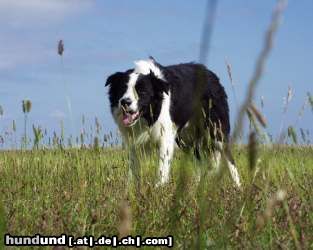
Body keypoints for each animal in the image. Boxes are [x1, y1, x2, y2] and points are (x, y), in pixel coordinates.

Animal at [106, 57, 240, 187]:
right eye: (122, 90)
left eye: (142, 92)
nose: (124, 102)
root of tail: (211, 74)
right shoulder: (134, 142)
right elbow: (133, 169)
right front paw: (130, 189)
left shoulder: (165, 137)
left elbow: (162, 168)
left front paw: (158, 189)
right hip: (185, 138)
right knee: (198, 160)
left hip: (215, 130)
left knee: (229, 158)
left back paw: (237, 187)